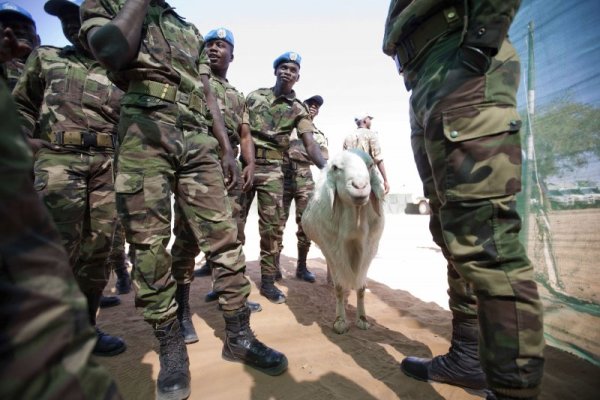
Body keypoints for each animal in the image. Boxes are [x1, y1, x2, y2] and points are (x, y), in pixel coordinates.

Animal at [302, 148, 386, 332]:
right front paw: (340, 322)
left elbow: (361, 286)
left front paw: (362, 319)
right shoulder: (333, 248)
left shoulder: (369, 249)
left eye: (371, 165)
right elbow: (339, 287)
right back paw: (329, 280)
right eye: (335, 168)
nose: (360, 186)